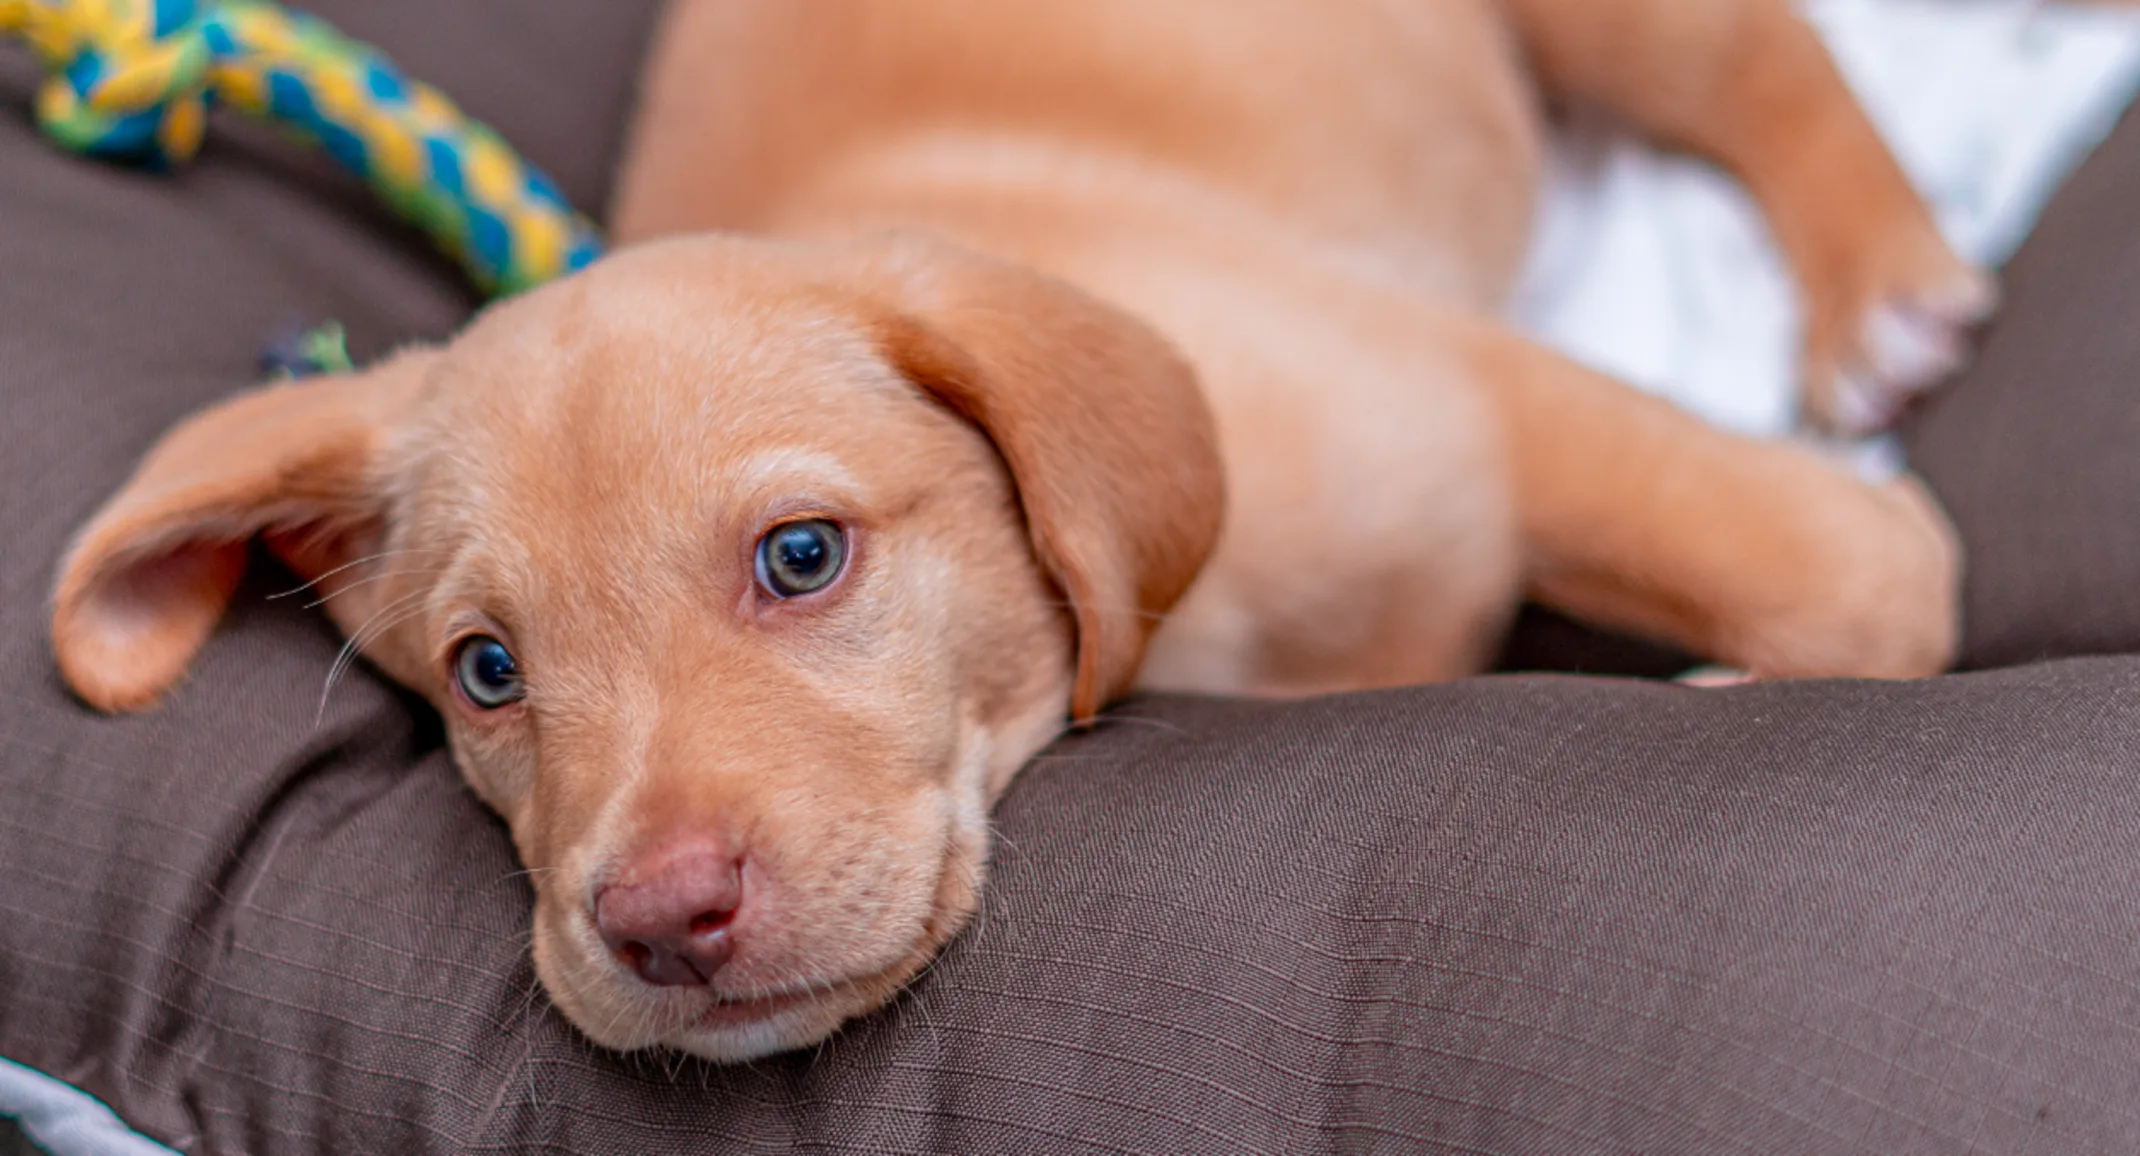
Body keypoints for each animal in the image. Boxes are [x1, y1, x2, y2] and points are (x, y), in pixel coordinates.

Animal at [50, 0, 1977, 1061]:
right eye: (487, 673)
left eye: (802, 557)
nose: (663, 923)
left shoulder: (1482, 406)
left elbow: (1862, 581)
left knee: (1746, 48)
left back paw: (1881, 276)